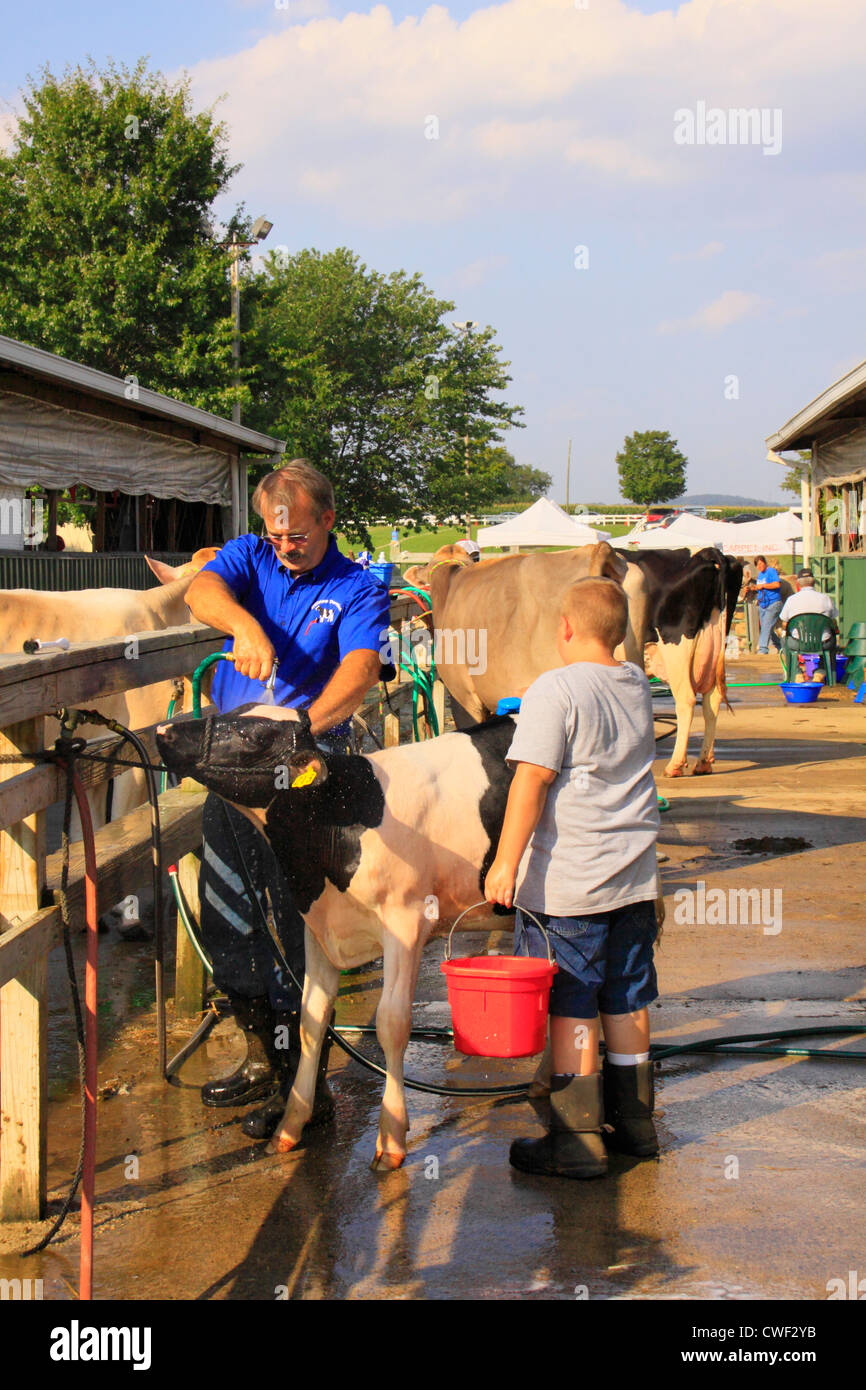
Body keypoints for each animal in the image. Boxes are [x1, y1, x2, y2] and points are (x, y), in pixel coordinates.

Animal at [155, 706, 514, 1173]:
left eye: (255, 738)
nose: (164, 730)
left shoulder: (406, 922)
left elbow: (392, 1024)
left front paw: (391, 1138)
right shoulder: (317, 926)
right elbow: (310, 1019)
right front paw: (289, 1126)